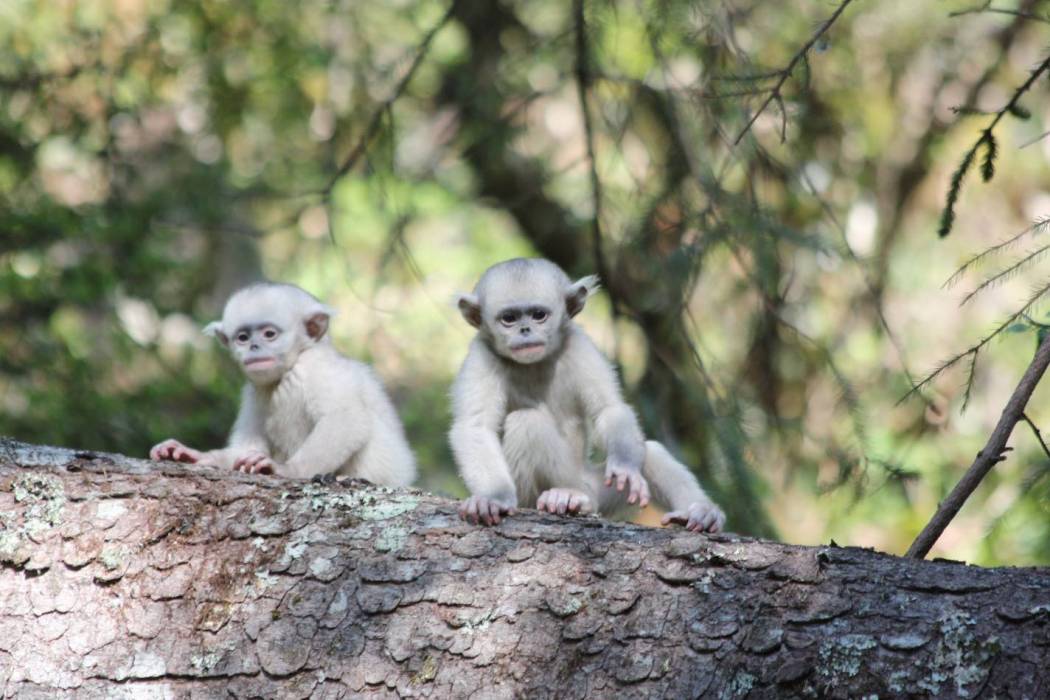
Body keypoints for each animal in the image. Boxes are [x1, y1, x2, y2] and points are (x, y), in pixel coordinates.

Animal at [150, 281, 415, 486]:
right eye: (243, 338)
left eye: (269, 334)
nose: (254, 347)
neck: (297, 358)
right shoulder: (254, 391)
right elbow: (247, 447)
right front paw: (195, 456)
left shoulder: (315, 369)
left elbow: (346, 419)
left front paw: (289, 470)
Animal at [447, 257, 726, 531]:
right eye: (509, 318)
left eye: (539, 315)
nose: (524, 330)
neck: (534, 364)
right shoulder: (481, 357)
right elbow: (475, 427)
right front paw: (493, 498)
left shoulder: (579, 344)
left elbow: (609, 409)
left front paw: (624, 466)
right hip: (534, 495)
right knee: (526, 421)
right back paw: (567, 498)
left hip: (598, 489)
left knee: (651, 454)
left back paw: (699, 512)